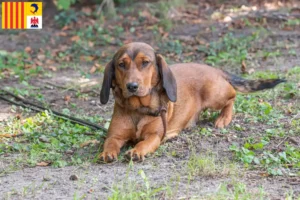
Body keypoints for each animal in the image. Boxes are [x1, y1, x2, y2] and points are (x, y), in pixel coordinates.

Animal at [99, 42, 286, 162]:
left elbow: (144, 142)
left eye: (145, 63)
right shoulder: (114, 135)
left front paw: (137, 151)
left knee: (233, 97)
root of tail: (215, 69)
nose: (132, 86)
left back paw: (223, 118)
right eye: (121, 64)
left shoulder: (155, 136)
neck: (138, 108)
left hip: (214, 96)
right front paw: (106, 153)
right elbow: (110, 143)